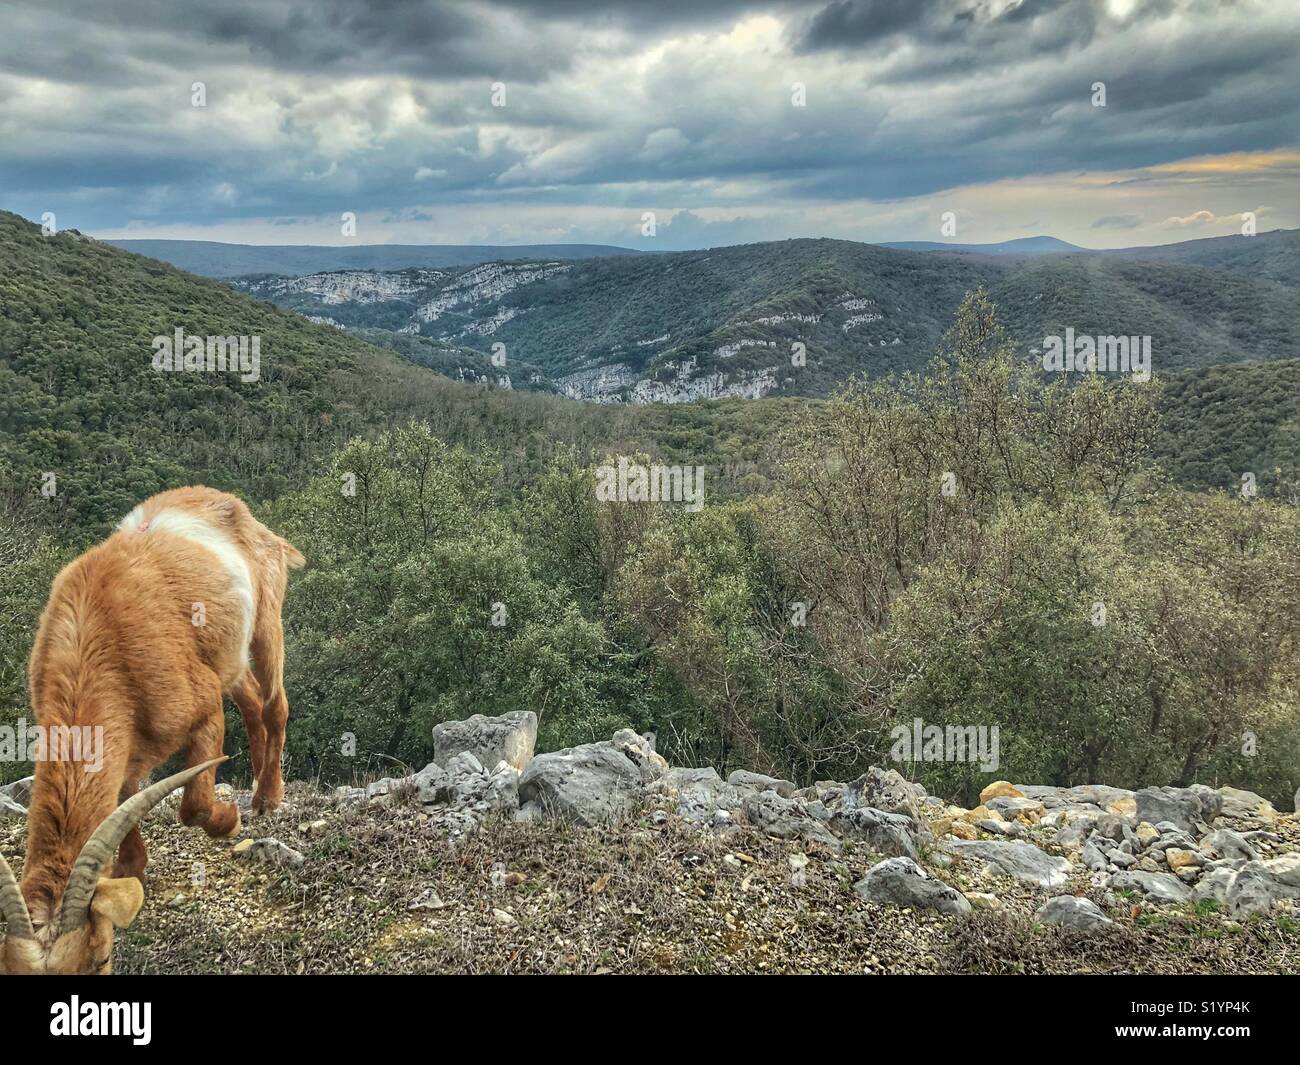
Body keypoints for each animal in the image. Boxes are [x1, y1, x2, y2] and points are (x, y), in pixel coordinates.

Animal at [0, 486, 303, 974]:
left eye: (100, 958)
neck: (96, 650)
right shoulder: (123, 749)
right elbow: (124, 799)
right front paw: (131, 865)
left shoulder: (202, 709)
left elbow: (194, 808)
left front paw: (230, 819)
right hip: (228, 656)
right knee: (253, 705)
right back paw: (257, 784)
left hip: (265, 618)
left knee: (274, 705)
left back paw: (266, 797)